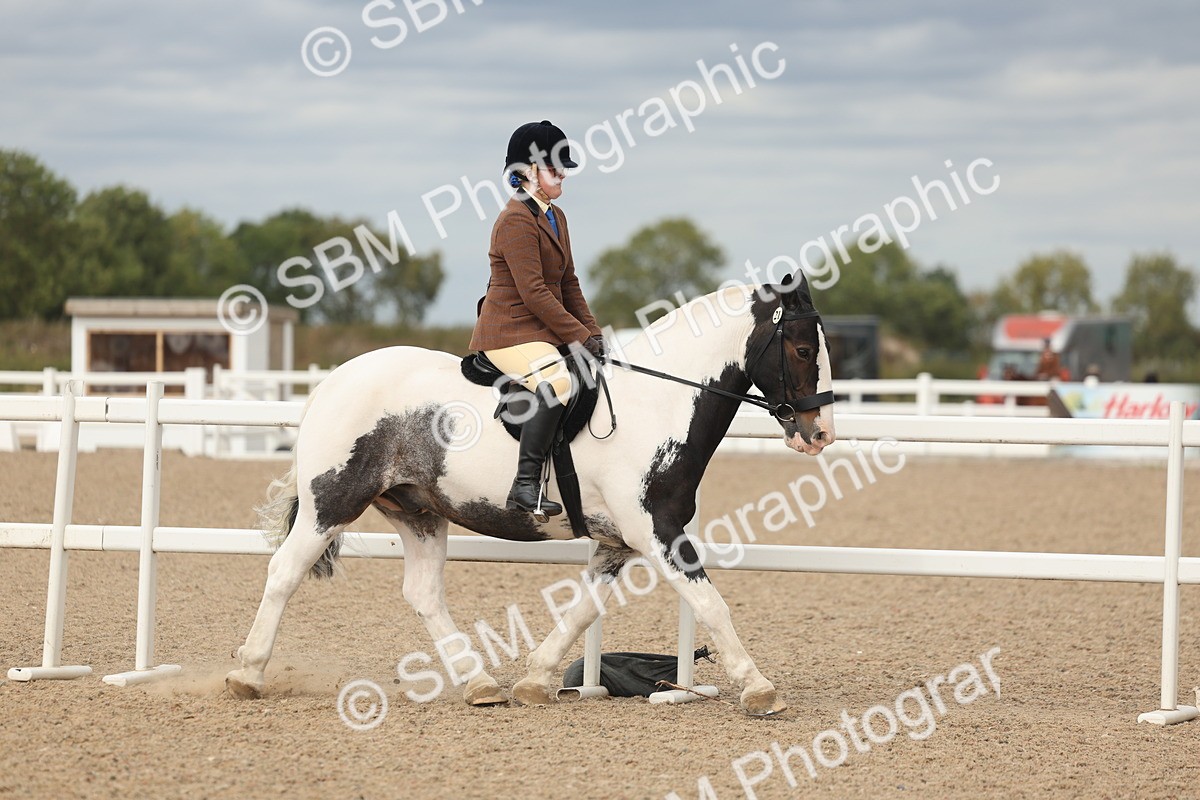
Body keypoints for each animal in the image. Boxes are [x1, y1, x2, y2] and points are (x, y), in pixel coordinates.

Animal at [225, 274, 836, 716]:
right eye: (804, 349)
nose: (819, 433)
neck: (657, 406)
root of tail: (333, 380)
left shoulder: (618, 543)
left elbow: (582, 611)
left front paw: (537, 679)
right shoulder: (656, 531)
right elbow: (710, 604)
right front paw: (759, 689)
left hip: (420, 511)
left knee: (423, 594)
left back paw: (480, 685)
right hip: (333, 502)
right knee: (284, 572)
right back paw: (246, 673)